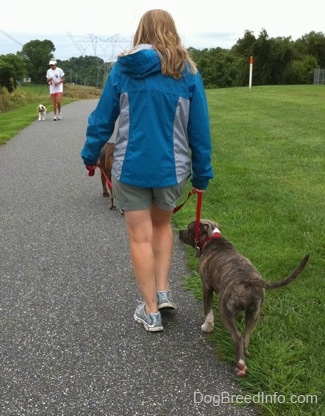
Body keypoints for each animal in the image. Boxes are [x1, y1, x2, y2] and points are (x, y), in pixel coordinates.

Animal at [178, 221, 308, 376]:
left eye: (189, 228)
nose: (179, 232)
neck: (212, 239)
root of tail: (248, 280)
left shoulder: (206, 287)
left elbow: (208, 310)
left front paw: (207, 327)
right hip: (254, 313)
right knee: (246, 336)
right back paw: (244, 358)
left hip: (224, 310)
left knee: (238, 336)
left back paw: (239, 363)